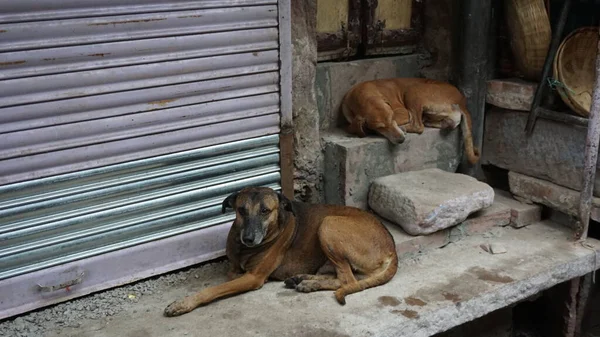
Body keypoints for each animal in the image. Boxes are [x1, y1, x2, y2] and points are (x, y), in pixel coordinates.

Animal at [164, 186, 398, 316]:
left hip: (328, 224)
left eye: (265, 211)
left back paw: (309, 283)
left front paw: (183, 303)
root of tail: (391, 248)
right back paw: (303, 279)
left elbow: (213, 290)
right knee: (343, 278)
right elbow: (230, 274)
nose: (248, 238)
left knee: (348, 280)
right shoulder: (234, 269)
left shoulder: (254, 277)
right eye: (241, 210)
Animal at [342, 77, 478, 164]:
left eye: (392, 117)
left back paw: (405, 128)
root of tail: (462, 102)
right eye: (380, 127)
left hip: (413, 90)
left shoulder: (403, 112)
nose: (401, 140)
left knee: (418, 126)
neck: (363, 95)